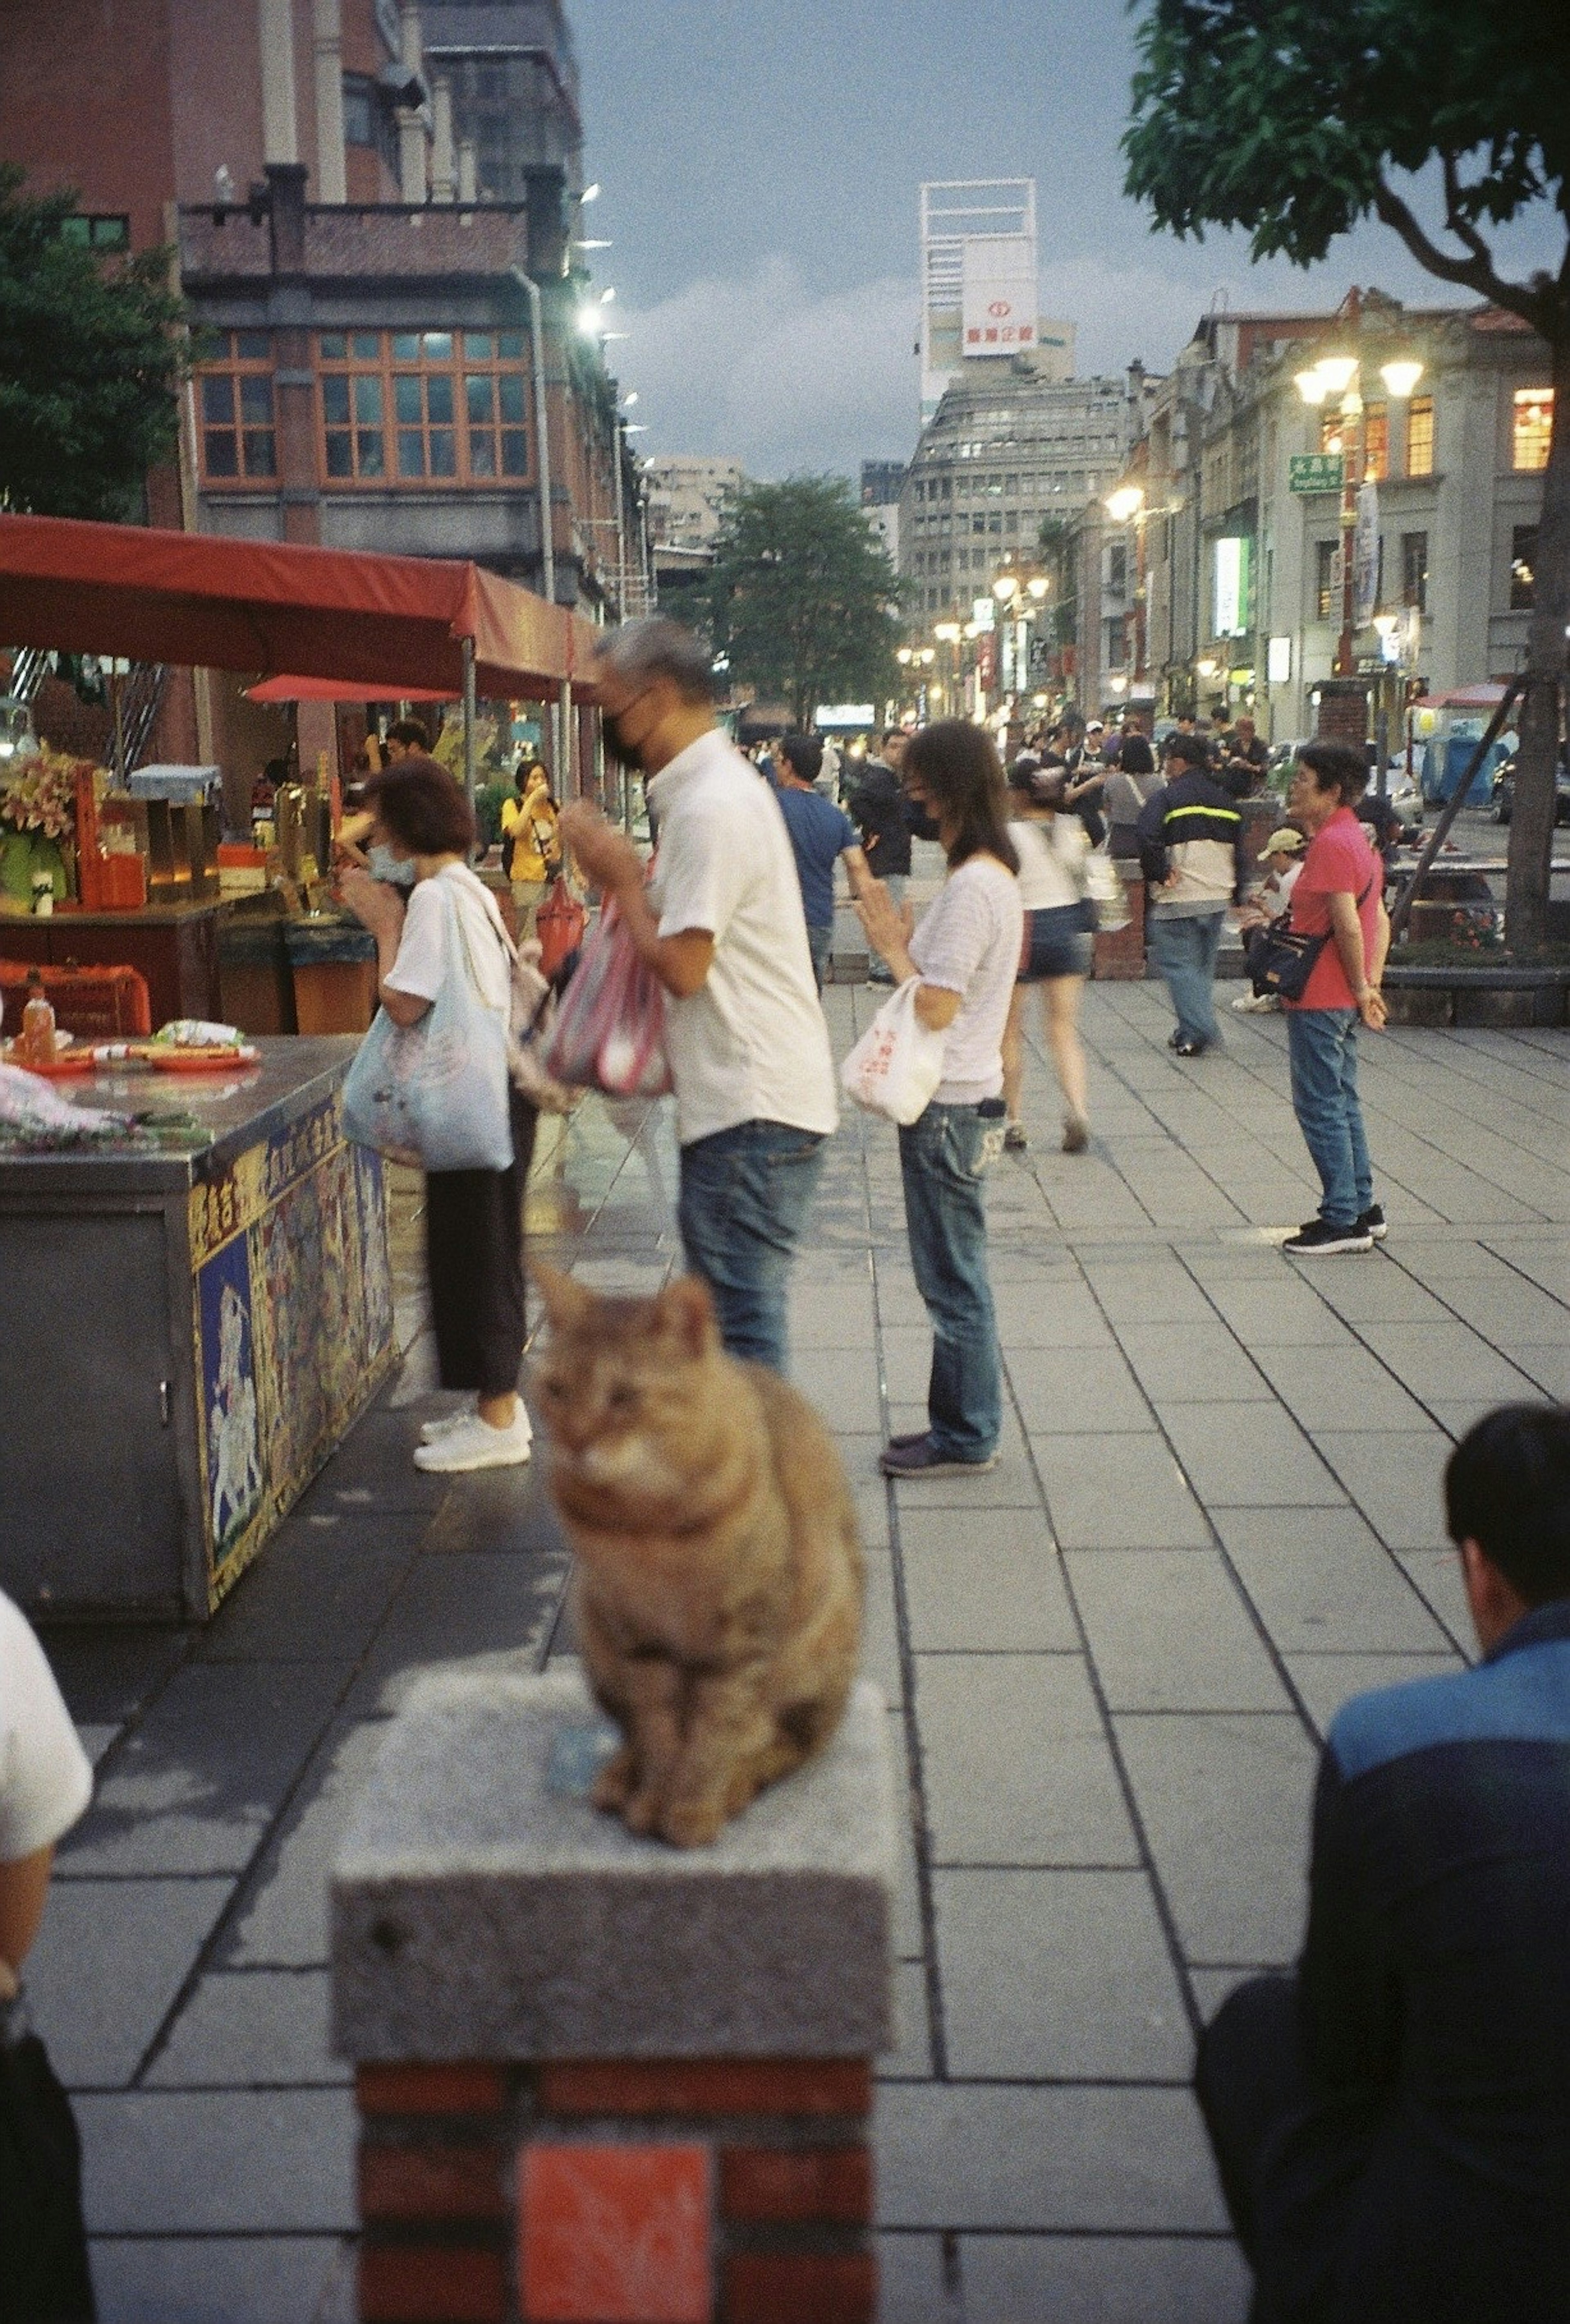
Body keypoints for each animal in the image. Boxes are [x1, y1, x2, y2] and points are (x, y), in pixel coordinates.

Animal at [535, 1264, 865, 1840]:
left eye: (624, 1396)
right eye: (556, 1389)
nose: (574, 1444)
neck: (644, 1524)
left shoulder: (743, 1635)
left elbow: (717, 1732)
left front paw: (692, 1806)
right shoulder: (636, 1634)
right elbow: (659, 1729)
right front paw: (654, 1798)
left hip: (819, 1654)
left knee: (784, 1745)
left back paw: (736, 1784)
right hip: (594, 1636)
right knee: (633, 1732)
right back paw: (622, 1777)